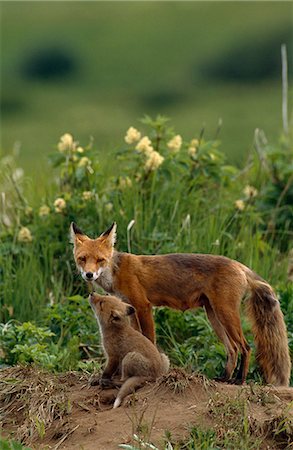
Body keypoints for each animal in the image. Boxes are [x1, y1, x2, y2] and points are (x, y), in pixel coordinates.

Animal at [70, 221, 290, 386]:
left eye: (100, 260)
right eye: (83, 259)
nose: (89, 275)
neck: (116, 272)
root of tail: (239, 265)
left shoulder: (143, 306)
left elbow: (149, 338)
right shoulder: (129, 308)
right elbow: (136, 339)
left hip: (225, 314)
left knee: (246, 347)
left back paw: (239, 380)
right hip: (214, 316)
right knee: (232, 349)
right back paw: (225, 377)